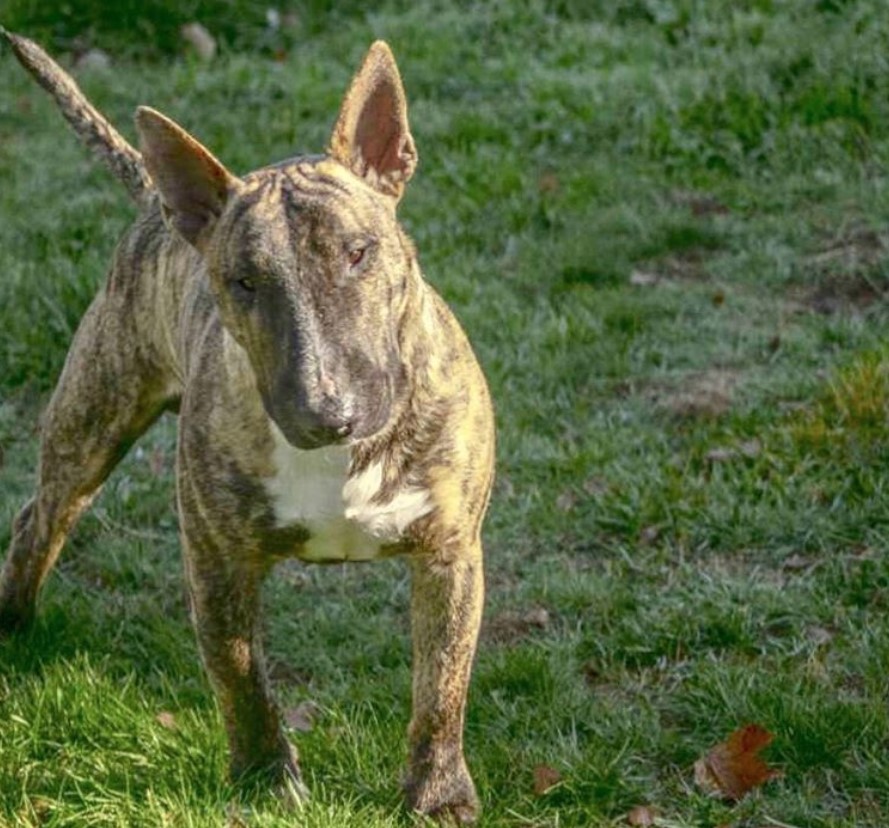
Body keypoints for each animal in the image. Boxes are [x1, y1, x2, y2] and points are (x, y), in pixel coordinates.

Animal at [1, 29, 492, 824]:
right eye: (243, 281)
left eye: (359, 252)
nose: (328, 411)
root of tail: (158, 200)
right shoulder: (216, 557)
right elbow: (239, 674)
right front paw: (265, 778)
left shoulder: (450, 551)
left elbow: (439, 686)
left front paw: (438, 792)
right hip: (93, 418)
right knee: (40, 518)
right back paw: (12, 621)